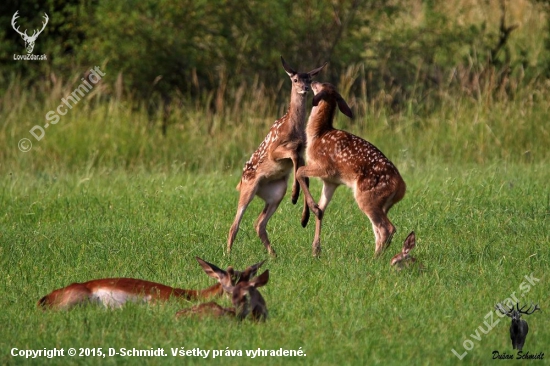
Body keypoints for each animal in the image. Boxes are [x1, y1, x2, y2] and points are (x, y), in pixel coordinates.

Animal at [227, 57, 328, 258]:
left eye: (309, 79)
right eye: (295, 80)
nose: (305, 88)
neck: (293, 129)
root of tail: (241, 181)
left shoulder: (302, 152)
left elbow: (302, 172)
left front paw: (304, 214)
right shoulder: (274, 151)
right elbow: (293, 158)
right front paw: (295, 196)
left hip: (276, 192)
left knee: (259, 224)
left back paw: (273, 255)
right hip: (249, 187)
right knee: (235, 225)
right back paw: (227, 254)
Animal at [296, 81, 408, 256]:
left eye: (322, 84)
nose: (312, 82)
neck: (318, 135)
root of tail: (401, 187)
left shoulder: (325, 167)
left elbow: (299, 171)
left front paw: (311, 209)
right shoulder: (331, 181)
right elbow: (323, 209)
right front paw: (316, 249)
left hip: (367, 197)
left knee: (386, 229)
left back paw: (375, 259)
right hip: (383, 204)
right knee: (378, 230)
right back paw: (377, 255)